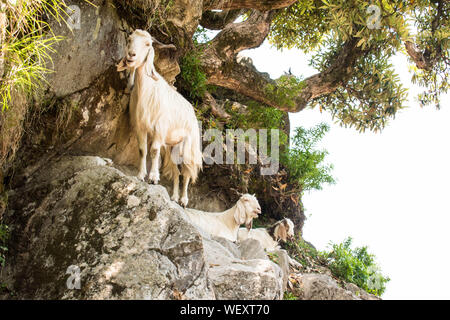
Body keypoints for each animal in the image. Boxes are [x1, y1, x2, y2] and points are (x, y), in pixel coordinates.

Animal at [116, 28, 202, 206]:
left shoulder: (159, 129)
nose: (131, 55)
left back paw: (183, 200)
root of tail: (191, 111)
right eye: (129, 39)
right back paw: (174, 197)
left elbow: (154, 151)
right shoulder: (140, 127)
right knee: (176, 171)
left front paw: (154, 178)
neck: (147, 90)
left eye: (148, 44)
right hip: (172, 146)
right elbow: (142, 150)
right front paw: (141, 175)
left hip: (188, 146)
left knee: (187, 172)